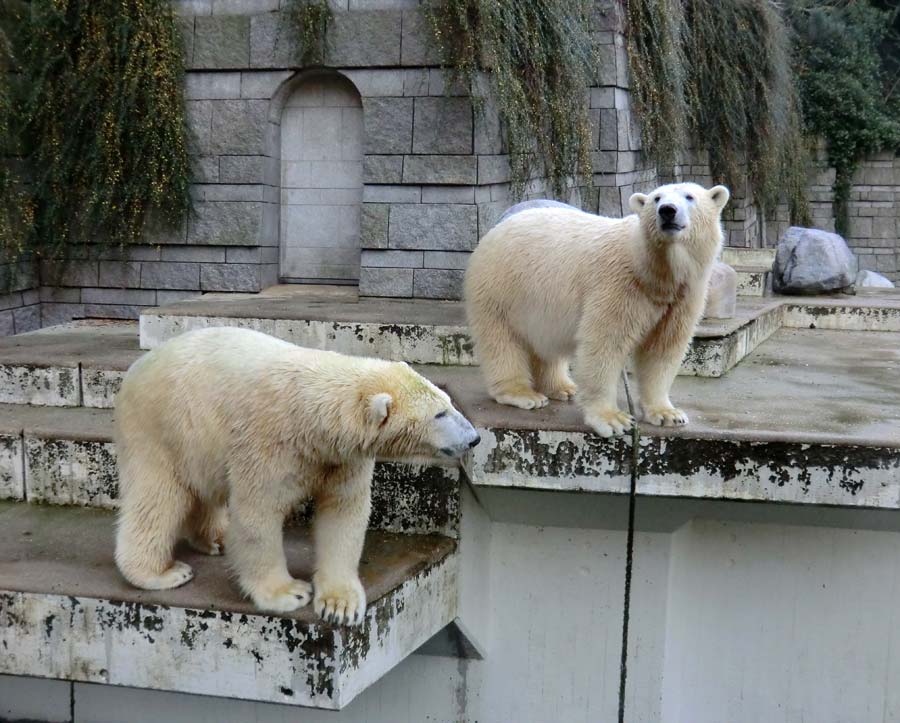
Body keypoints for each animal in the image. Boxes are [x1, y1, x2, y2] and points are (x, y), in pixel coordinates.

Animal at [116, 328, 482, 628]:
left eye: (449, 402)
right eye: (440, 414)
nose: (475, 438)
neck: (313, 414)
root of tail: (137, 366)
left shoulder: (340, 459)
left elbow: (343, 514)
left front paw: (340, 605)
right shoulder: (268, 444)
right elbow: (257, 516)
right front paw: (288, 593)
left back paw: (215, 538)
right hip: (164, 426)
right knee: (157, 497)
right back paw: (162, 572)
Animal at [464, 184, 732, 438]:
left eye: (689, 196)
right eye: (657, 198)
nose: (667, 210)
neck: (652, 271)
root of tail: (496, 228)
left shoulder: (683, 297)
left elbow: (664, 348)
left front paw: (668, 414)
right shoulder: (619, 286)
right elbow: (605, 344)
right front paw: (613, 420)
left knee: (546, 345)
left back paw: (562, 387)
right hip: (500, 288)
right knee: (501, 341)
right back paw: (523, 394)